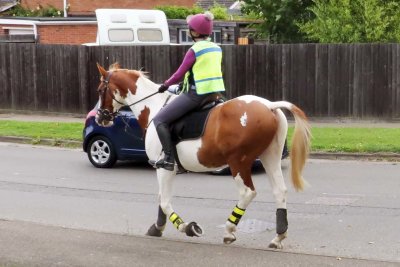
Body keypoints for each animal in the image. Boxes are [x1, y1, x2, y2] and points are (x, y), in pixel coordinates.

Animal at [95, 62, 310, 249]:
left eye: (99, 90)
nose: (99, 117)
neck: (154, 106)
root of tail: (269, 106)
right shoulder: (163, 169)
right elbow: (161, 199)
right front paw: (157, 228)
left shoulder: (164, 167)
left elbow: (164, 201)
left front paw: (187, 227)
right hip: (269, 157)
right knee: (280, 191)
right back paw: (278, 236)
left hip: (238, 162)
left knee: (247, 192)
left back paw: (229, 230)